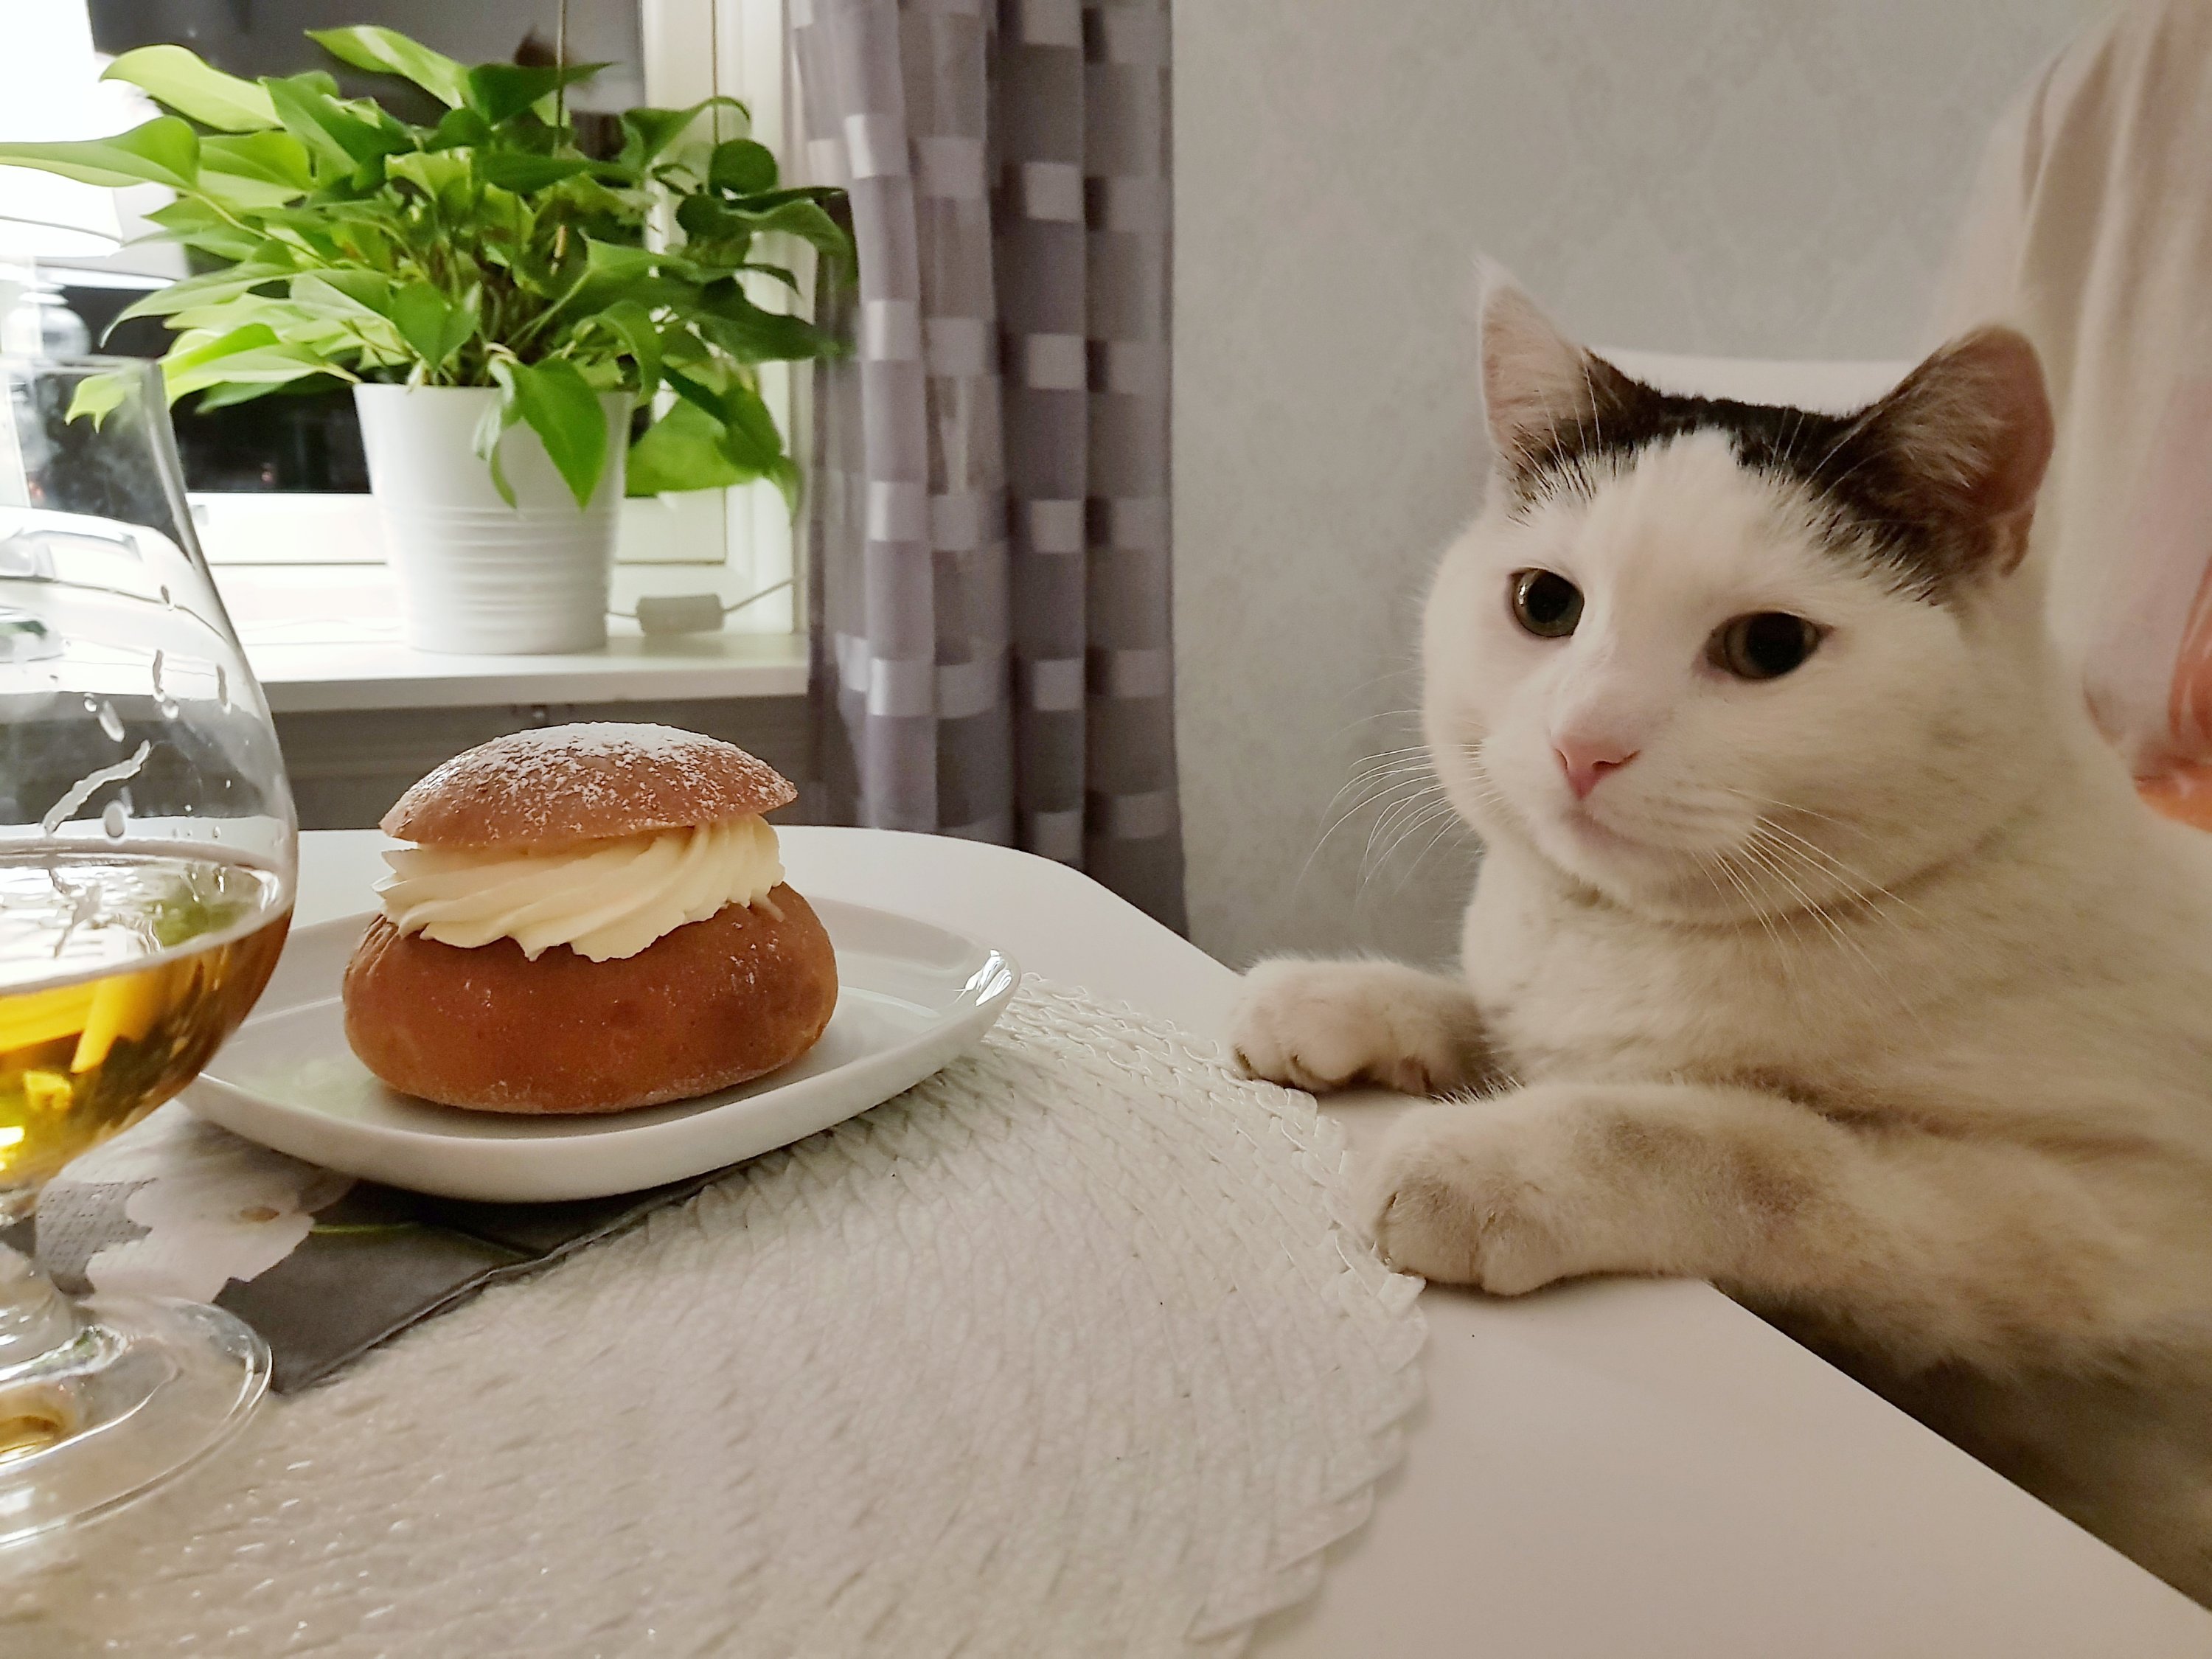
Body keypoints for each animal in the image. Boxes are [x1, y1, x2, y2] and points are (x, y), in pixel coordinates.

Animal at [1230, 276, 2212, 1604]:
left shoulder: (2107, 1220)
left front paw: (1488, 1158)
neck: (1637, 940)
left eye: (1769, 648)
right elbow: (1490, 1011)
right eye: (1546, 603)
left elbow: (1747, 1141)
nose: (1585, 740)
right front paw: (1340, 1000)